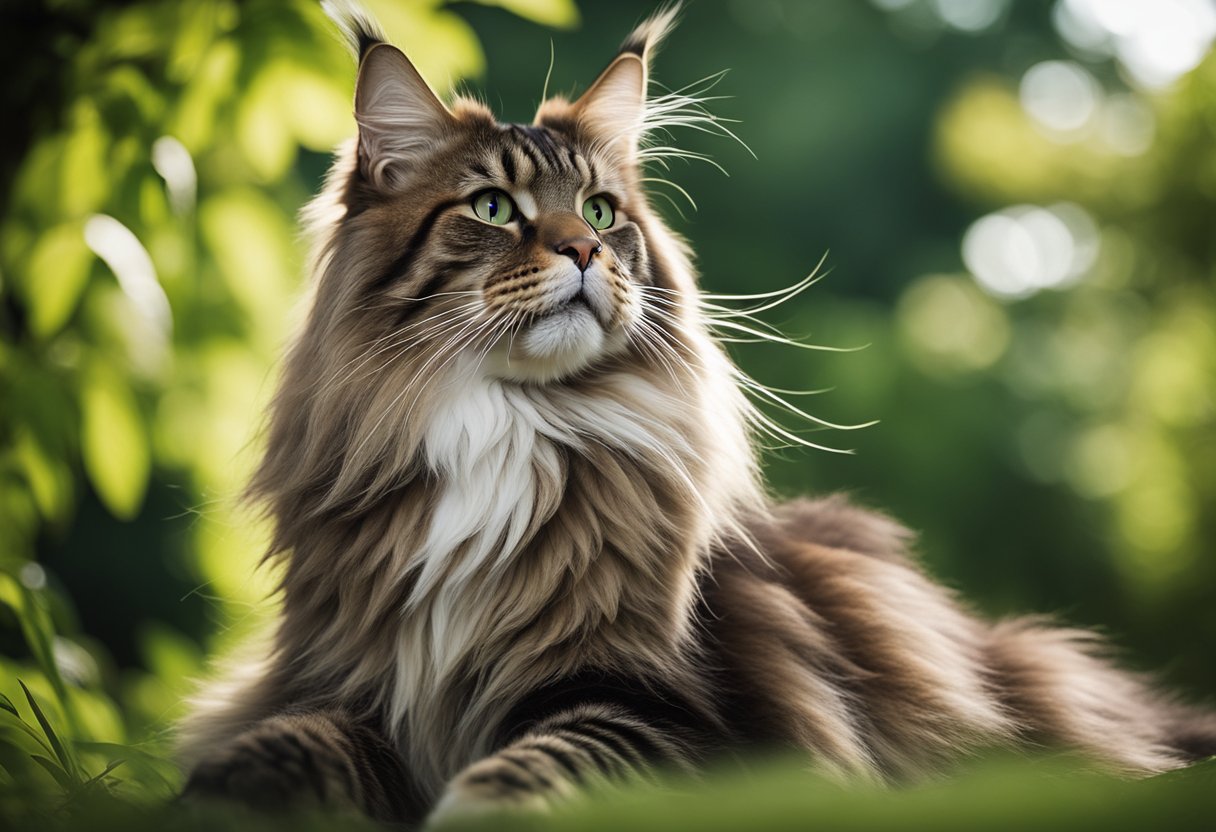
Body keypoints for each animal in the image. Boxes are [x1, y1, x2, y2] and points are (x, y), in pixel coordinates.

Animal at [179, 1, 1216, 827]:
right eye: (493, 207)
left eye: (601, 211)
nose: (584, 253)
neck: (501, 427)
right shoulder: (347, 684)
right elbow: (284, 741)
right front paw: (227, 792)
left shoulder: (655, 701)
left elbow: (533, 766)